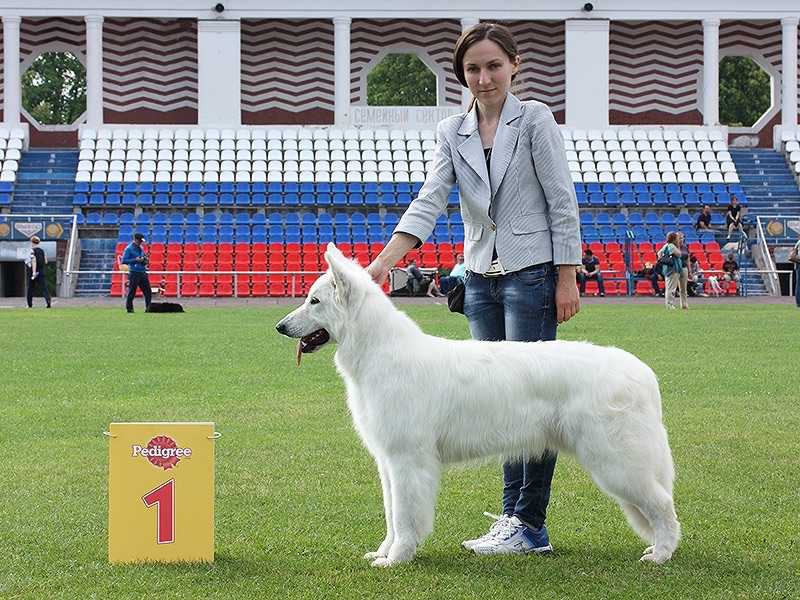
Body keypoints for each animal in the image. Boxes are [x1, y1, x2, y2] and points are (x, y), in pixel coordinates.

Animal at [276, 243, 680, 568]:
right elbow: (392, 514)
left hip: (616, 462)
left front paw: (398, 558)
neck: (379, 350)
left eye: (314, 301)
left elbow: (405, 516)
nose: (279, 327)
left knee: (663, 504)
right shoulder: (388, 463)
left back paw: (661, 553)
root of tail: (643, 373)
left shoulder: (408, 460)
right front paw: (385, 551)